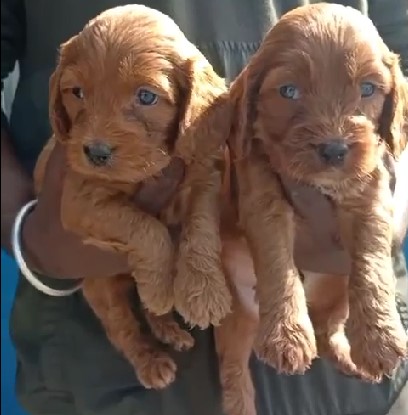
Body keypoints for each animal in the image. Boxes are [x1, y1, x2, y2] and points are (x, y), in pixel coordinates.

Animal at [34, 4, 233, 390]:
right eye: (76, 92)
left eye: (146, 96)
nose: (95, 152)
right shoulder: (80, 201)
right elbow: (147, 229)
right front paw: (162, 288)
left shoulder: (204, 172)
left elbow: (201, 226)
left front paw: (204, 291)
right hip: (101, 290)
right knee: (122, 330)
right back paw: (151, 359)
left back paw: (168, 326)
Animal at [218, 2, 408, 412]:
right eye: (289, 91)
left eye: (368, 89)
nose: (334, 150)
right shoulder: (259, 191)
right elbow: (276, 257)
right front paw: (286, 335)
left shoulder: (370, 194)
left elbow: (372, 258)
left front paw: (381, 340)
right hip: (238, 316)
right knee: (232, 366)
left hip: (338, 293)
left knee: (327, 327)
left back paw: (349, 359)